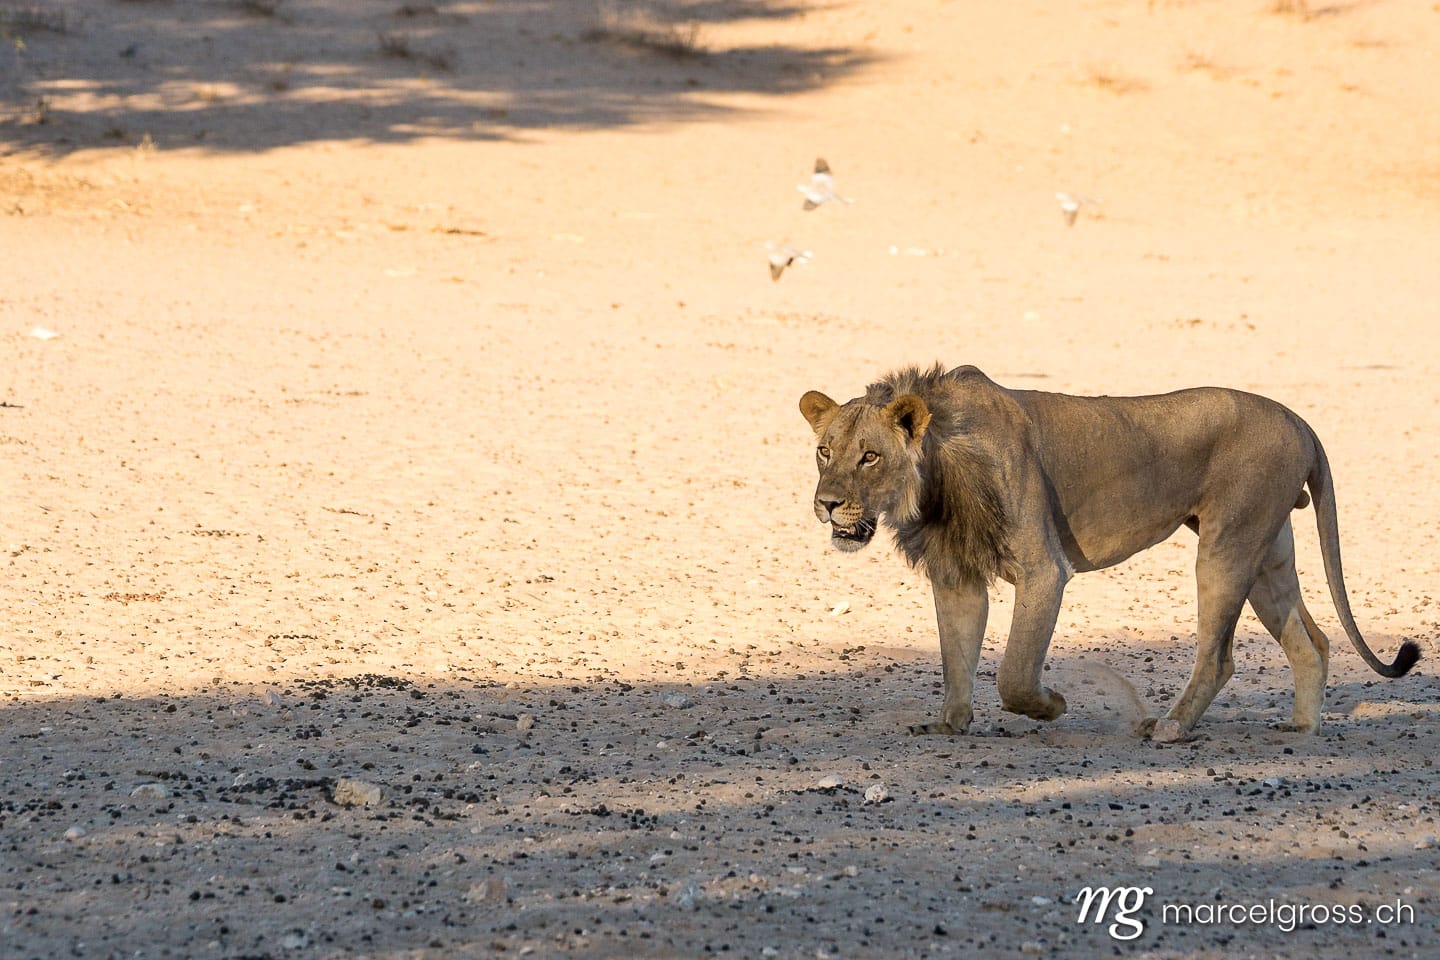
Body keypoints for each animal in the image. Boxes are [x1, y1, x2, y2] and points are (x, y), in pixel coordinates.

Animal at [799, 364, 1419, 742]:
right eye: (825, 451)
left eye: (870, 456)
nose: (826, 504)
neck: (933, 480)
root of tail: (1299, 420)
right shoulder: (956, 574)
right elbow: (957, 656)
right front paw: (950, 725)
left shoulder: (1044, 570)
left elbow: (1014, 673)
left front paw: (1053, 704)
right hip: (1268, 554)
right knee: (1312, 642)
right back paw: (1302, 728)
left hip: (1227, 545)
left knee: (1219, 657)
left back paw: (1170, 727)